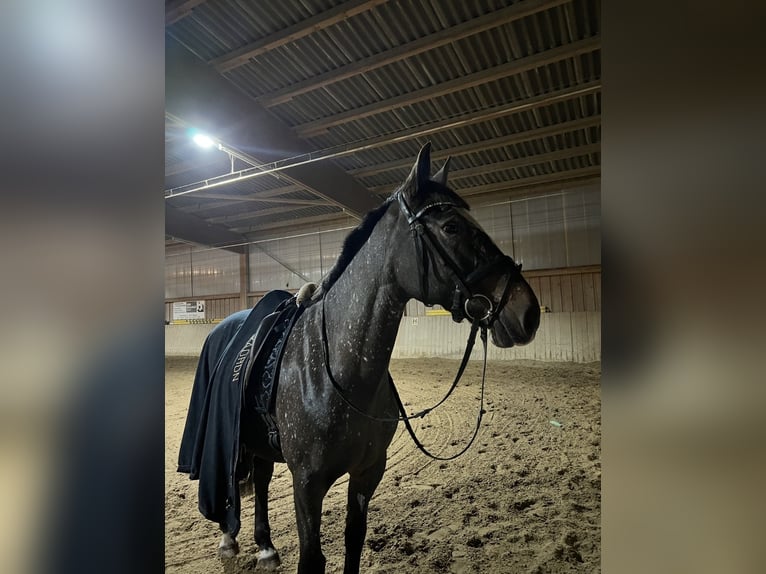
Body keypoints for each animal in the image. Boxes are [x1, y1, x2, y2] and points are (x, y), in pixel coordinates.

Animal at [179, 143, 540, 573]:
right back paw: (229, 539)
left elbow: (354, 539)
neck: (339, 370)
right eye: (451, 227)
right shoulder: (307, 483)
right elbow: (312, 558)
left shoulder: (368, 471)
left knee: (262, 478)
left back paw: (265, 546)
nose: (528, 311)